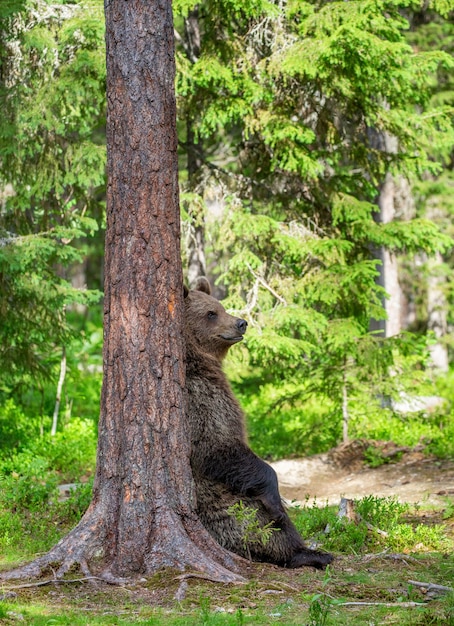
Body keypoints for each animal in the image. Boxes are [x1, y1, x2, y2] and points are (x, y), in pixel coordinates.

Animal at [184, 276, 334, 564]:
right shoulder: (200, 400)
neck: (198, 362)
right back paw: (305, 554)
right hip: (231, 507)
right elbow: (217, 446)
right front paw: (277, 499)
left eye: (220, 306)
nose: (241, 322)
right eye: (211, 313)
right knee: (267, 526)